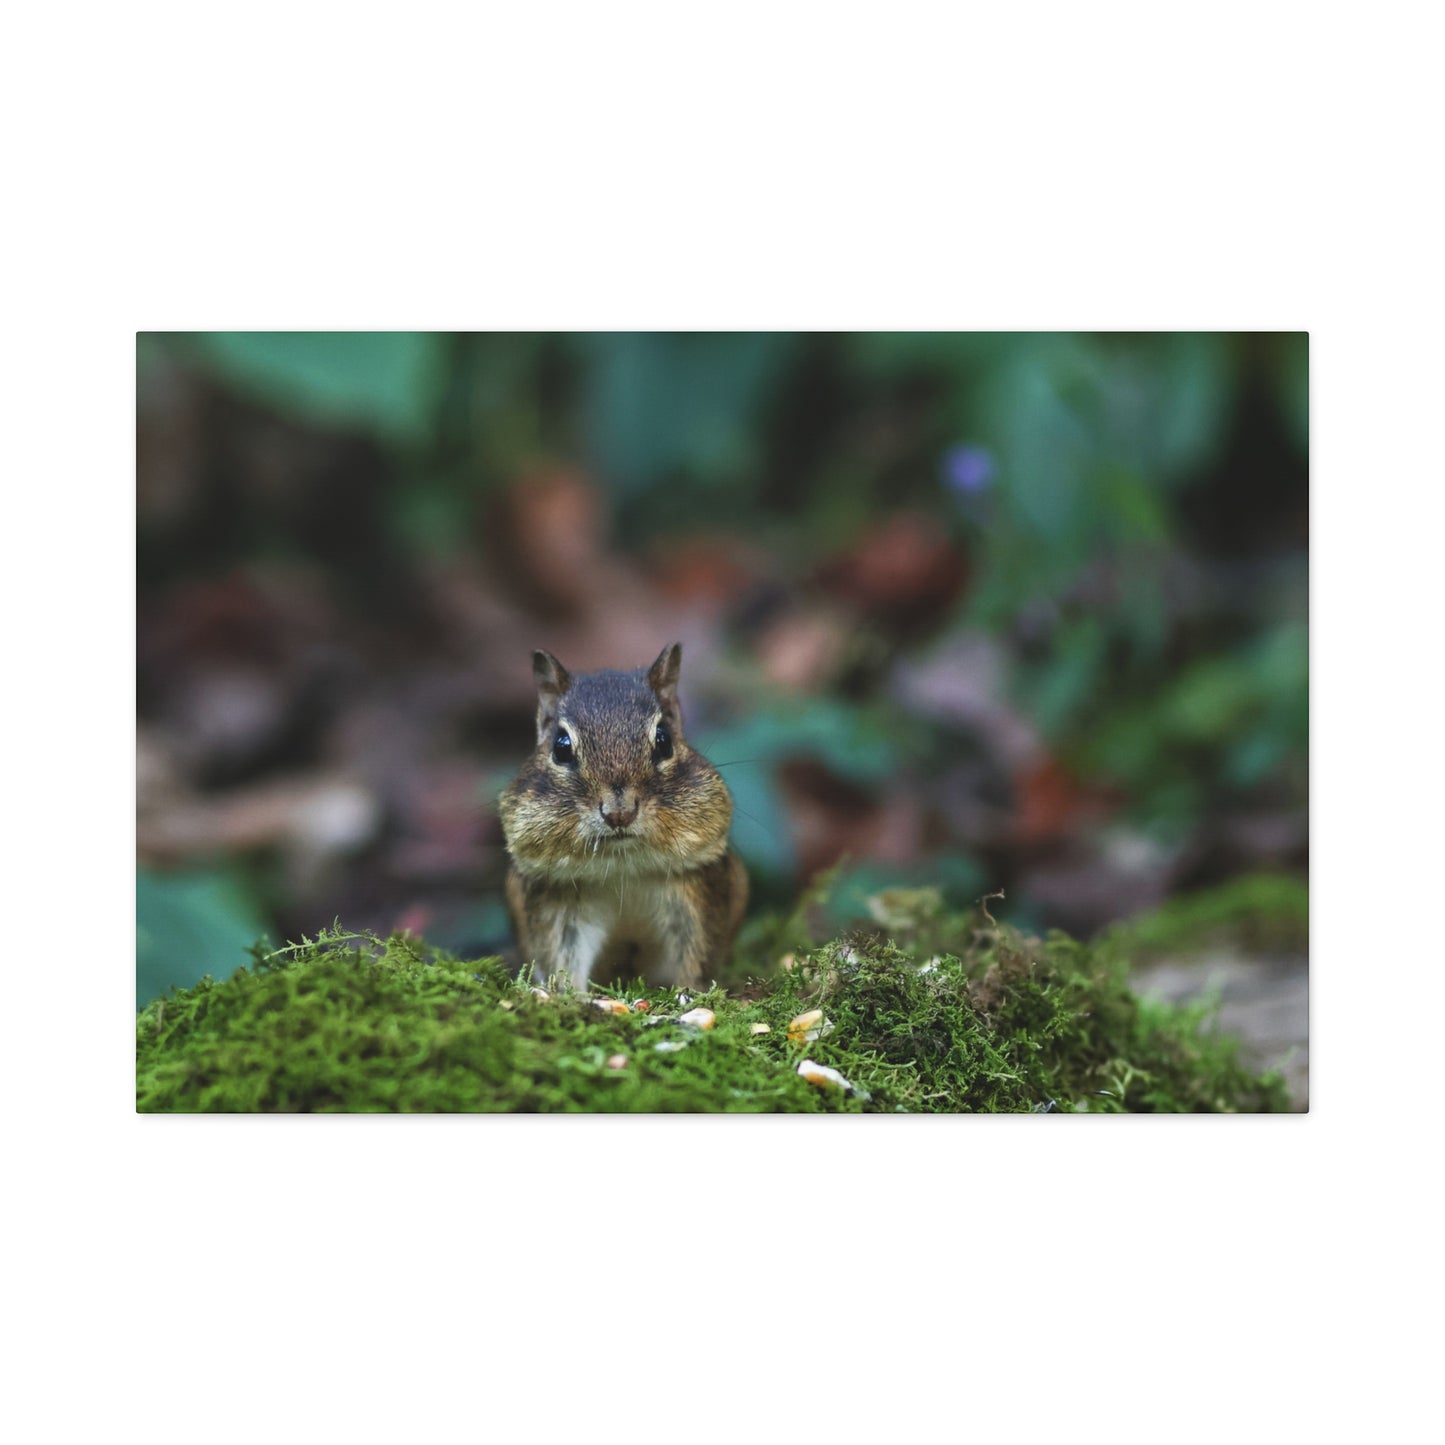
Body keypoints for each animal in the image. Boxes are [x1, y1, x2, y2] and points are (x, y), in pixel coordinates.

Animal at [499, 642, 748, 992]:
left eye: (663, 740)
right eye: (561, 747)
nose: (619, 813)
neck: (622, 868)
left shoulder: (697, 890)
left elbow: (697, 953)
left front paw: (689, 993)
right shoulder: (558, 904)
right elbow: (563, 958)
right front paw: (568, 995)